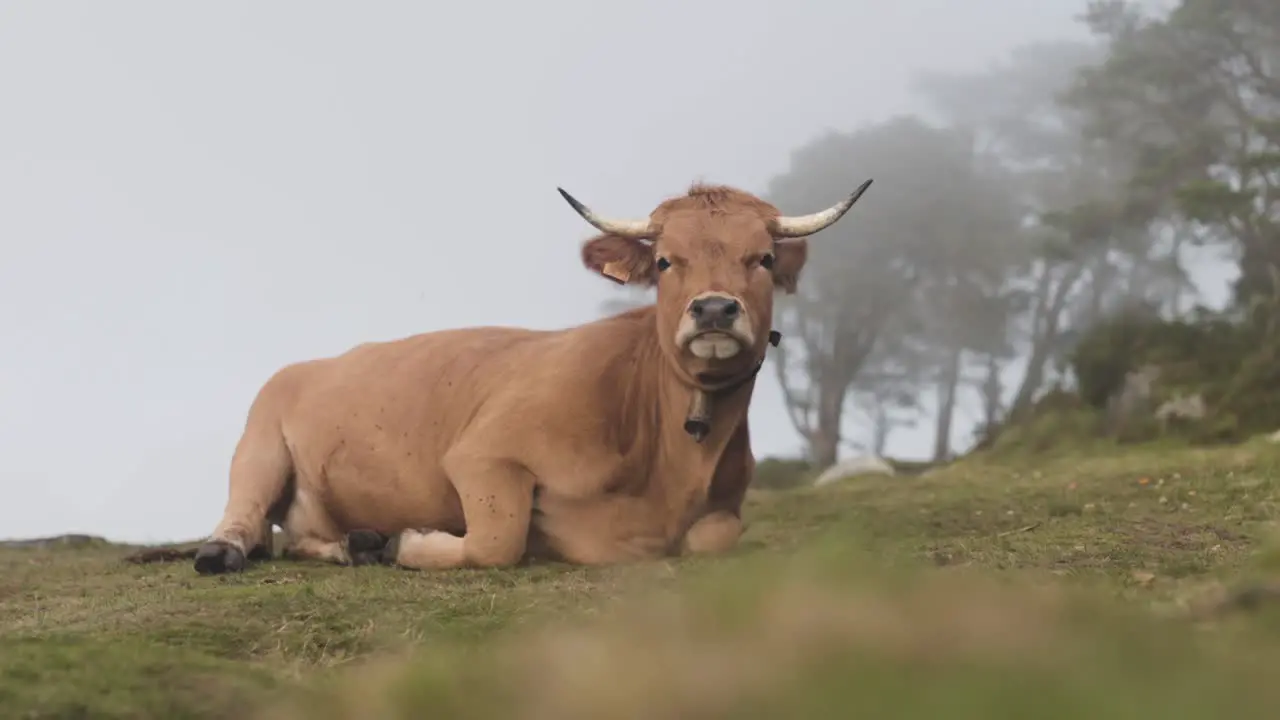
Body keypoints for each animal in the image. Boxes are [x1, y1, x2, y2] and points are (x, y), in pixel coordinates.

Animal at [192, 179, 870, 571]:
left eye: (763, 259)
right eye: (665, 261)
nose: (713, 310)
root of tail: (309, 364)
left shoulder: (723, 509)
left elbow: (716, 537)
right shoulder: (482, 456)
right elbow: (499, 541)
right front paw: (408, 543)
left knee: (296, 536)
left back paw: (349, 544)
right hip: (259, 445)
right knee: (243, 518)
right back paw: (231, 550)